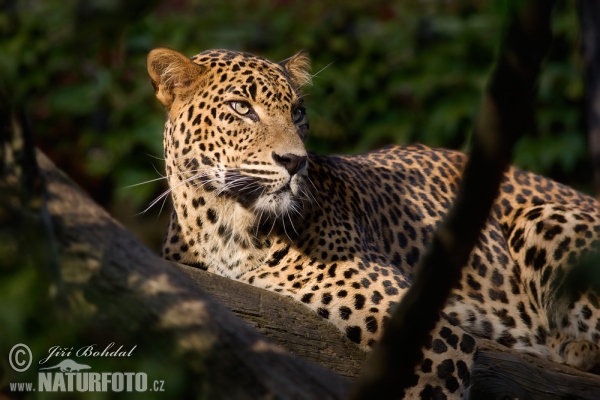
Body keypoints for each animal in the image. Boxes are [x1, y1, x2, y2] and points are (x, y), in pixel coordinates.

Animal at [148, 46, 600, 396]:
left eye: (297, 113)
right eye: (241, 108)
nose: (295, 162)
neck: (225, 227)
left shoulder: (433, 336)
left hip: (540, 216)